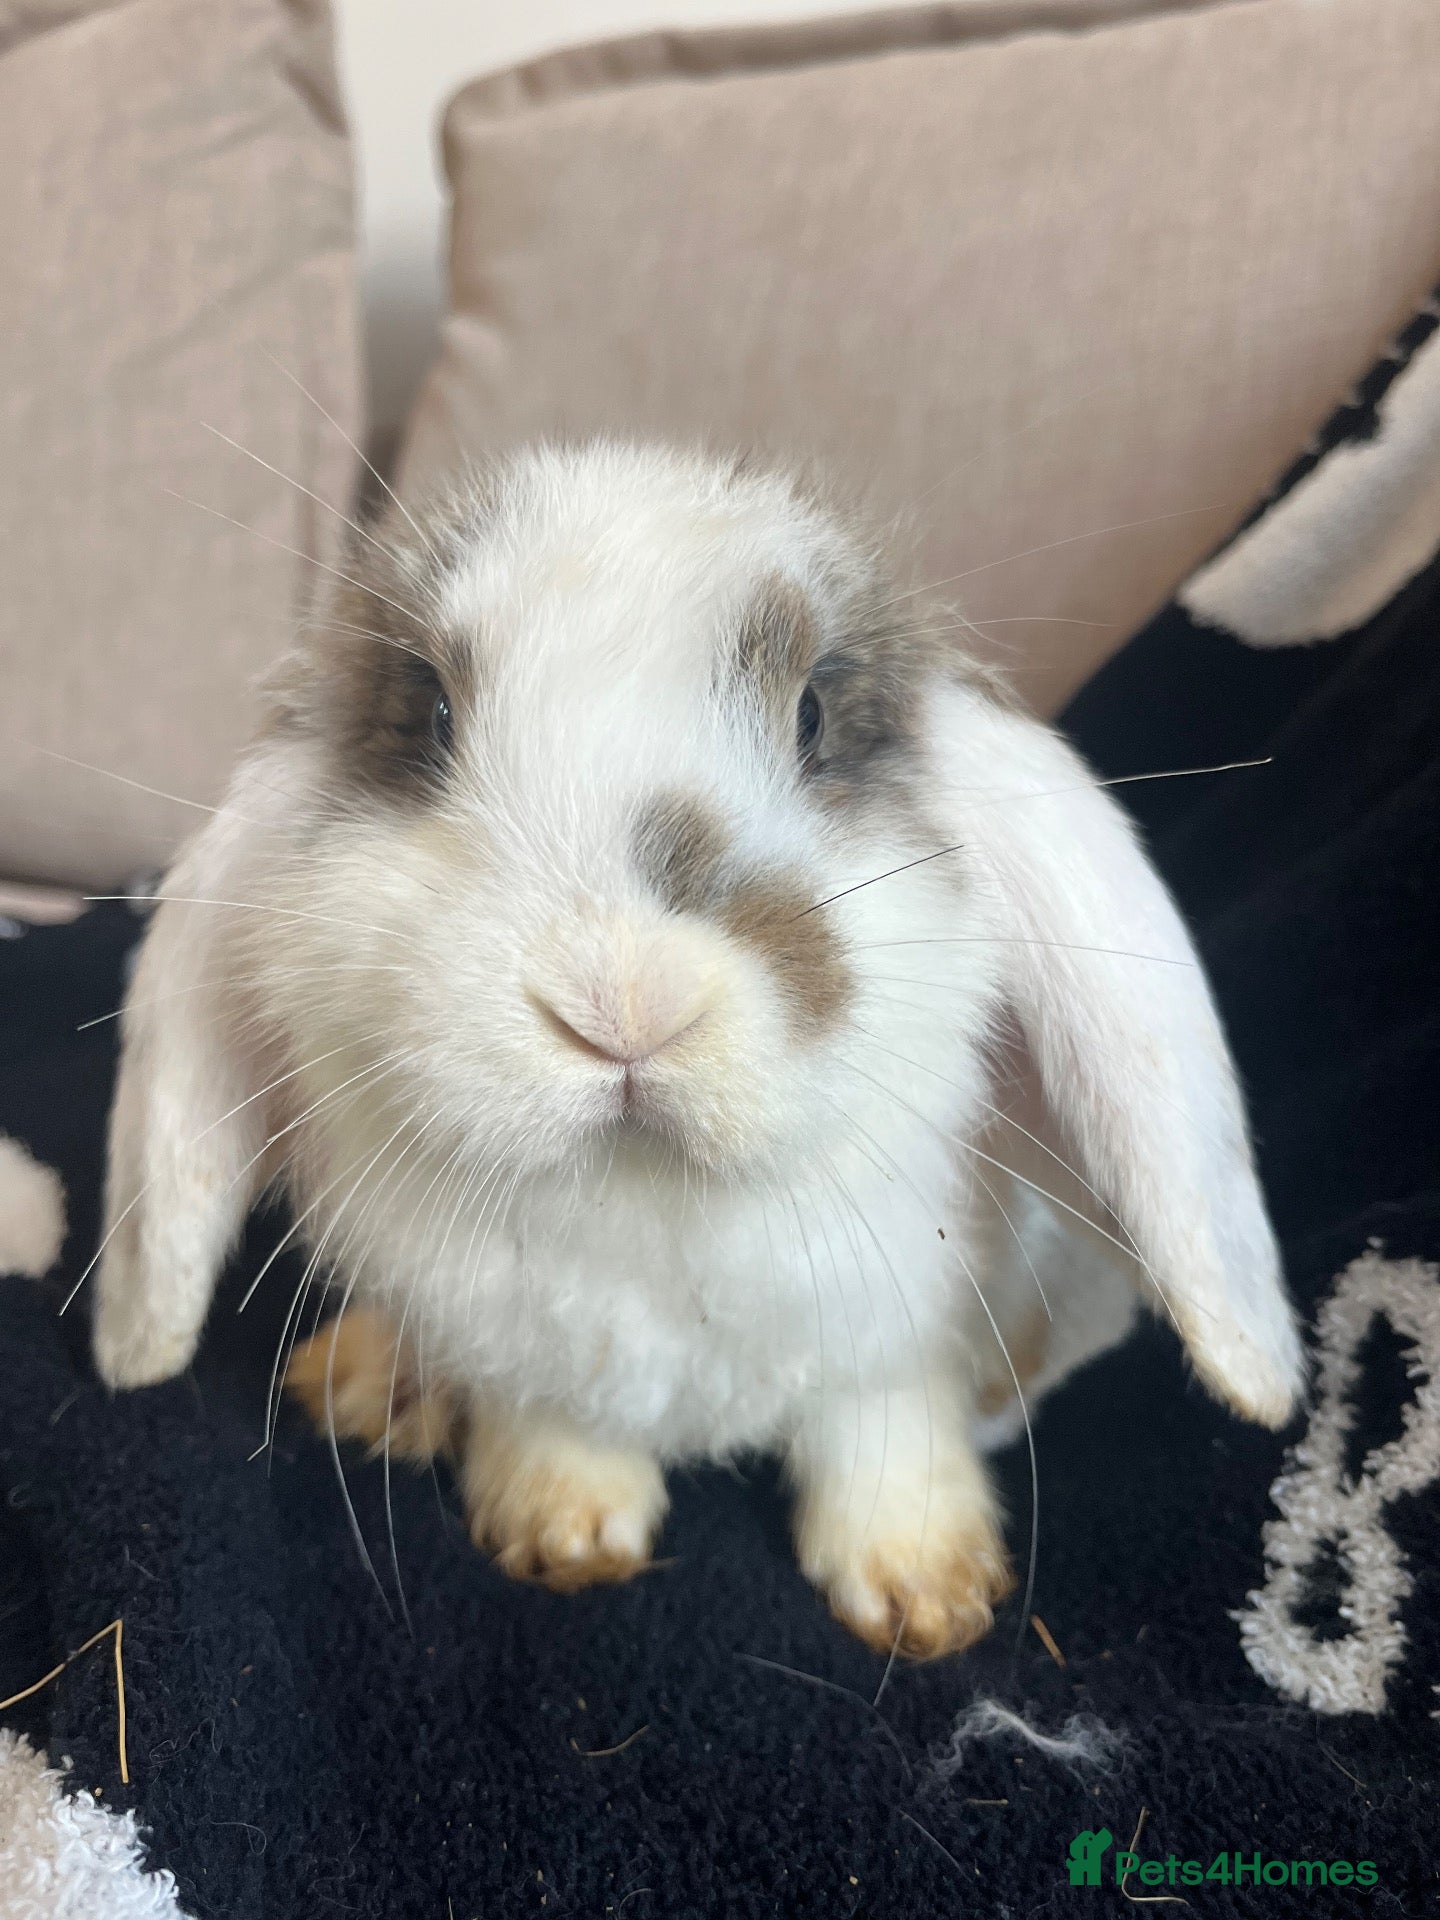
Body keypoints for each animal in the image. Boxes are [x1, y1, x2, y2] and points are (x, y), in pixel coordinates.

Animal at [93, 440, 1304, 1657]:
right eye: (430, 712)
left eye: (814, 713)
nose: (623, 1000)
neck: (651, 1203)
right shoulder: (531, 1344)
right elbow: (555, 1421)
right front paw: (562, 1534)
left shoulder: (893, 1326)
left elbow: (888, 1423)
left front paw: (927, 1591)